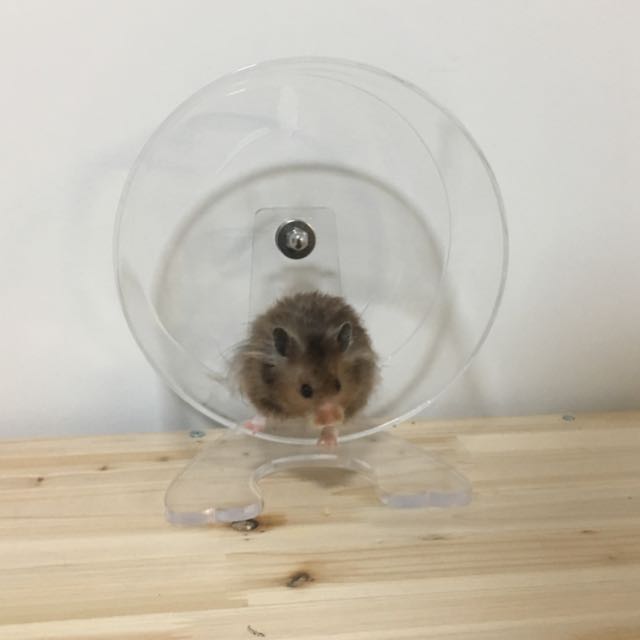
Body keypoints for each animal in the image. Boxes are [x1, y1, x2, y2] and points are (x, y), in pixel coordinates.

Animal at [232, 291, 378, 446]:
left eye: (338, 385)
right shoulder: (260, 389)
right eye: (305, 391)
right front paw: (245, 429)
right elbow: (262, 414)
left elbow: (333, 427)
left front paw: (326, 444)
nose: (331, 418)